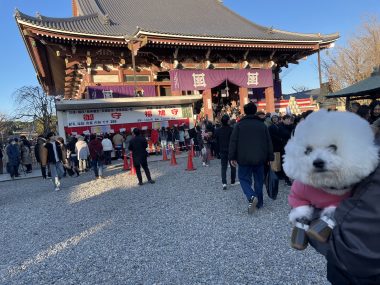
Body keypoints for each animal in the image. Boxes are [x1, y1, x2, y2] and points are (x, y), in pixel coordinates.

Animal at [284, 108, 378, 248]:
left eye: (333, 147)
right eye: (308, 150)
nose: (318, 162)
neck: (325, 184)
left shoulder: (340, 201)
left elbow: (332, 213)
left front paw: (320, 229)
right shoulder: (298, 194)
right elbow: (301, 210)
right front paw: (300, 226)